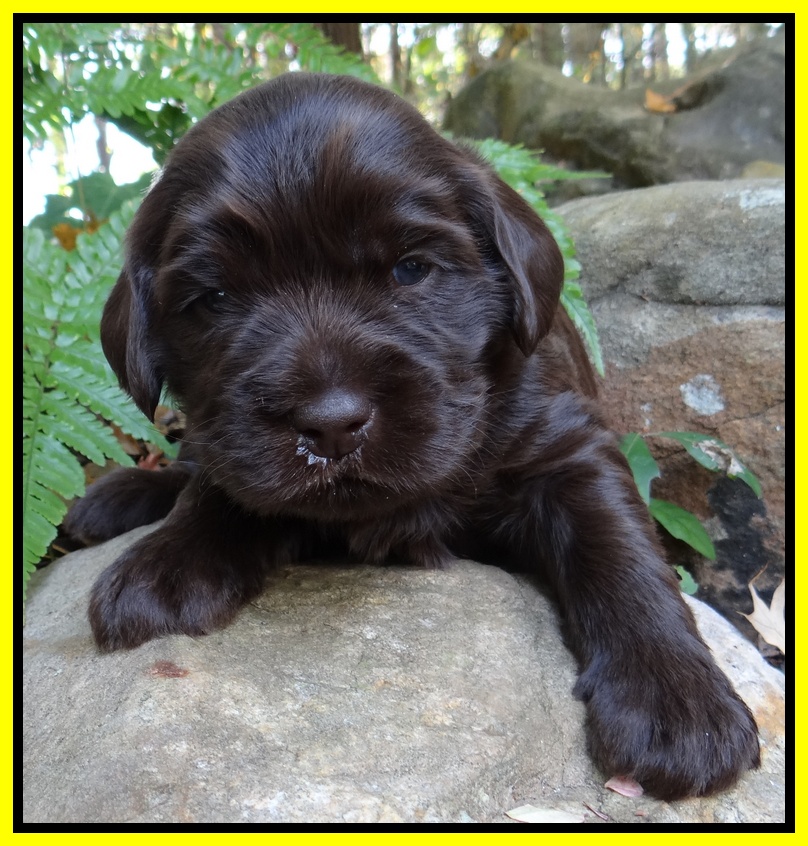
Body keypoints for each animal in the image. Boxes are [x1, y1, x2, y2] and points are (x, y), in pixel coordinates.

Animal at [64, 73, 760, 800]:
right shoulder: (232, 439)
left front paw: (672, 694)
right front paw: (167, 561)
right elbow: (219, 488)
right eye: (216, 299)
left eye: (411, 270)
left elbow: (620, 551)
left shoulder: (567, 446)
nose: (331, 423)